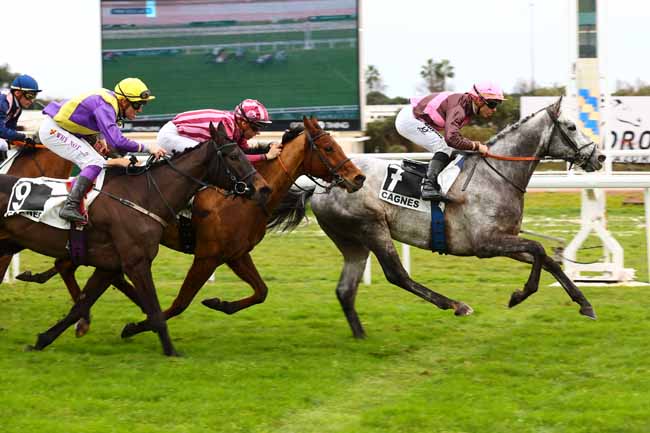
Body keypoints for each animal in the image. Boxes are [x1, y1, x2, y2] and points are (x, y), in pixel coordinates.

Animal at [0, 122, 268, 354]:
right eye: (233, 156)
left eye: (244, 152)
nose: (262, 188)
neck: (142, 195)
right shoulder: (137, 262)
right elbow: (156, 310)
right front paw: (171, 351)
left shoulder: (109, 265)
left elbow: (81, 306)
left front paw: (43, 339)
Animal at [268, 98, 604, 338]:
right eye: (571, 127)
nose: (598, 156)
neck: (497, 175)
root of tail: (318, 187)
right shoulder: (486, 243)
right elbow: (538, 249)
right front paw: (519, 295)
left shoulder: (506, 239)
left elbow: (546, 258)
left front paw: (585, 304)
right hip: (372, 227)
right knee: (397, 275)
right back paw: (456, 305)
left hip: (352, 242)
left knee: (345, 289)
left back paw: (360, 335)